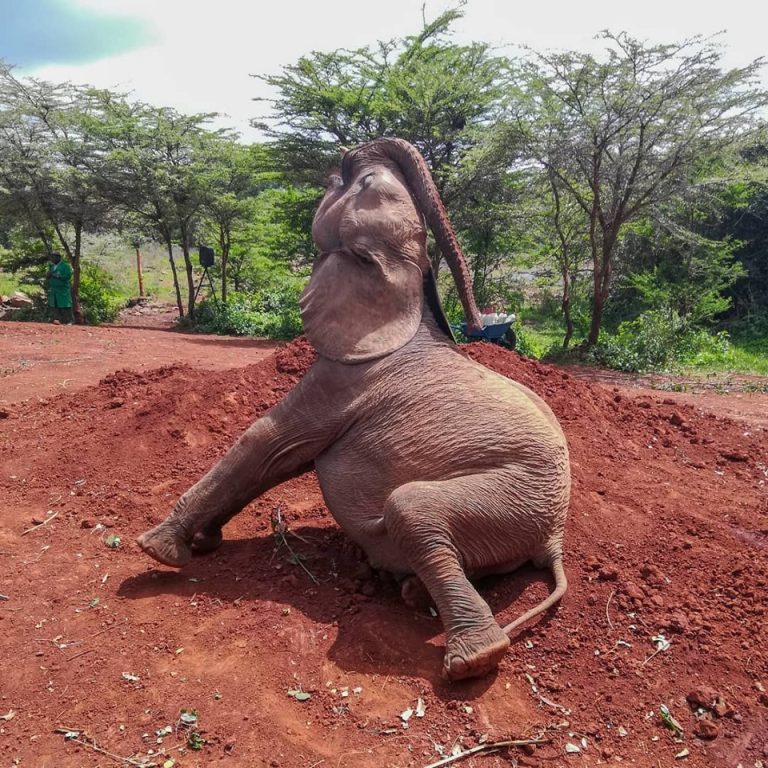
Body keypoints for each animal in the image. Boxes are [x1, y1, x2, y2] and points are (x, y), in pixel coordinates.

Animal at [137, 137, 570, 681]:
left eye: (352, 184)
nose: (483, 325)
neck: (406, 281)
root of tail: (555, 535)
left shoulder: (346, 379)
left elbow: (269, 444)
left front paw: (155, 549)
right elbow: (282, 460)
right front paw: (203, 543)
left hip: (514, 496)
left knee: (411, 509)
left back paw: (469, 658)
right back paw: (411, 591)